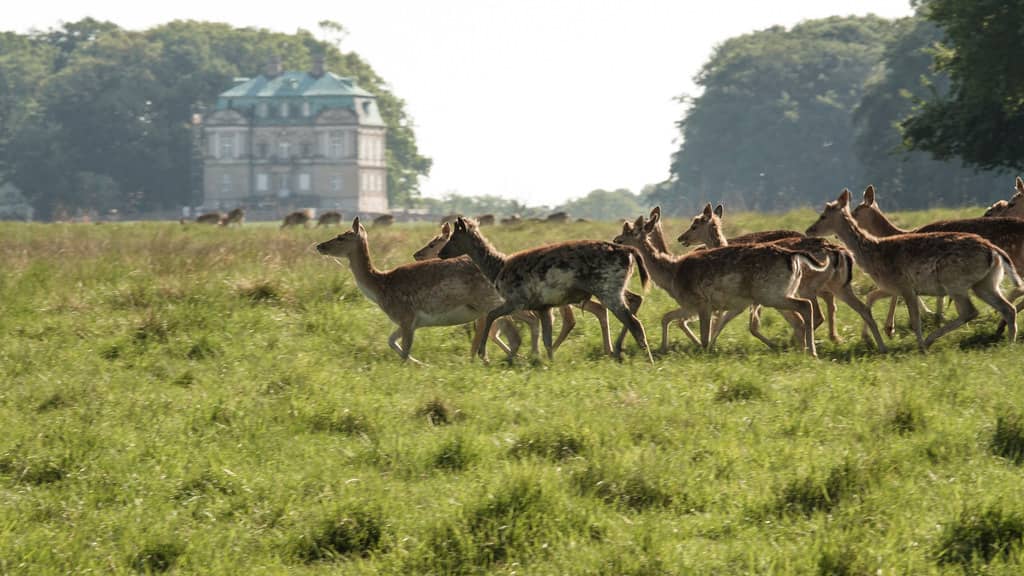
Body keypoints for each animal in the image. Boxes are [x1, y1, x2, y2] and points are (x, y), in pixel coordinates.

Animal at [316, 218, 527, 364]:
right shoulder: (410, 321)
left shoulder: (406, 316)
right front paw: (420, 363)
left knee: (514, 334)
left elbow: (404, 351)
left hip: (490, 302)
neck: (380, 288)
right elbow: (391, 341)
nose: (319, 245)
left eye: (342, 237)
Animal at [438, 217, 653, 362]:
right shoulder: (544, 306)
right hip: (613, 289)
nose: (440, 253)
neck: (497, 269)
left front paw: (482, 352)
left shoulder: (517, 300)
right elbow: (547, 339)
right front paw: (549, 362)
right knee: (635, 310)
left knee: (635, 323)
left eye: (454, 237)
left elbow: (491, 315)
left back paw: (647, 360)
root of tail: (629, 251)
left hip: (608, 289)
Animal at [616, 214, 827, 356]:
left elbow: (704, 335)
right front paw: (663, 348)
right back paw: (804, 349)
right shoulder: (691, 305)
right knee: (801, 315)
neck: (672, 274)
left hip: (771, 295)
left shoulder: (700, 302)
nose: (615, 240)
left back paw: (812, 352)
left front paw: (704, 351)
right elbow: (666, 317)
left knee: (805, 306)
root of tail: (793, 256)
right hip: (781, 292)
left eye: (629, 233)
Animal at [677, 203, 887, 351]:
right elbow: (742, 322)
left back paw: (799, 343)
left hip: (807, 286)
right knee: (853, 307)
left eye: (694, 225)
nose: (681, 238)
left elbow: (750, 325)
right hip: (837, 285)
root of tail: (840, 252)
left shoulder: (756, 296)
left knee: (815, 312)